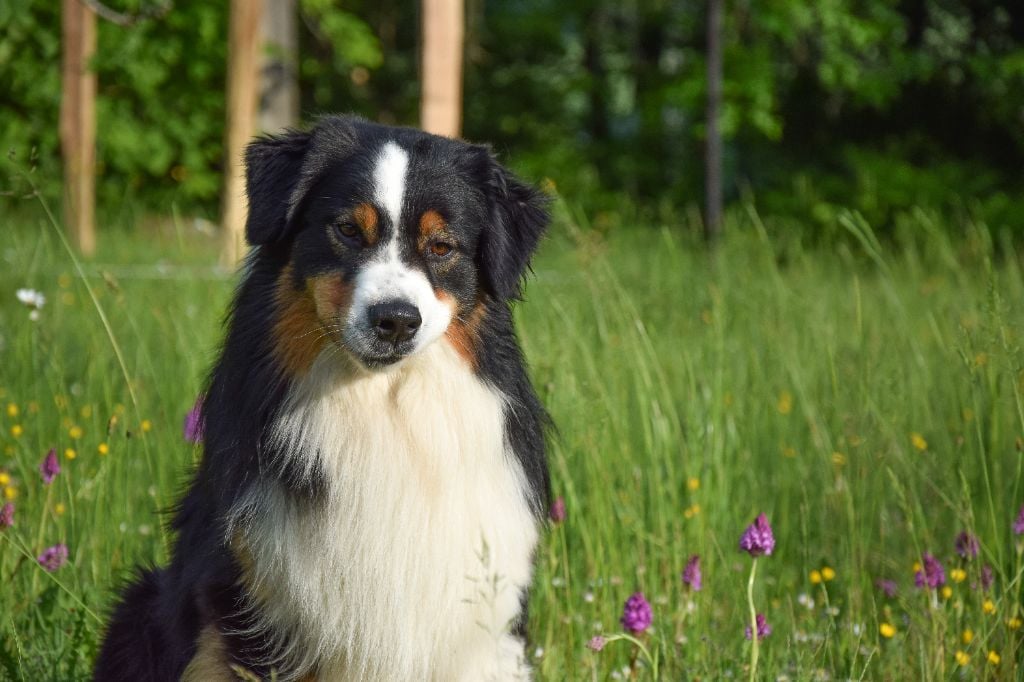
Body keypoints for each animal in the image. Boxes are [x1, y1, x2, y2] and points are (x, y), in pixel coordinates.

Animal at [94, 115, 551, 681]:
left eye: (442, 247)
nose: (396, 320)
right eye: (349, 230)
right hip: (139, 607)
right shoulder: (255, 604)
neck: (383, 407)